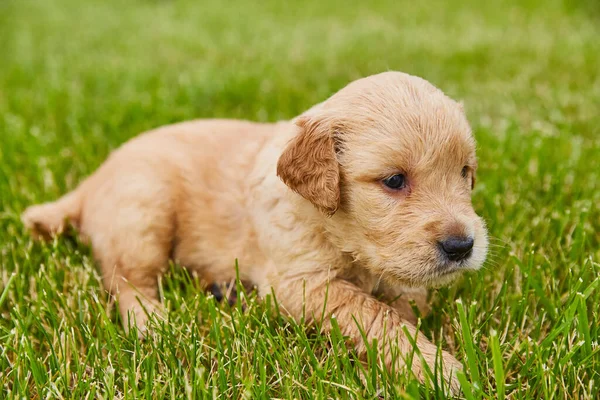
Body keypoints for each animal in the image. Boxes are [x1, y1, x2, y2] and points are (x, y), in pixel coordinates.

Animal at [22, 72, 488, 390]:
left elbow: (405, 302)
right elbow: (374, 313)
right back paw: (152, 322)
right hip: (142, 208)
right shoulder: (300, 284)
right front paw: (436, 367)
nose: (462, 246)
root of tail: (91, 180)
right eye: (394, 181)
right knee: (125, 280)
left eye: (465, 172)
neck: (331, 226)